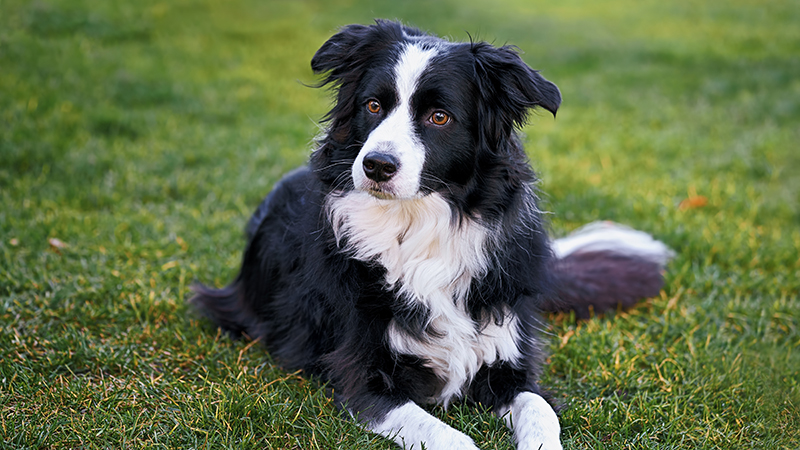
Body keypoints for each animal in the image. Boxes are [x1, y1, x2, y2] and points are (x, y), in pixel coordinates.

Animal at [191, 19, 672, 448]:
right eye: (373, 106)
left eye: (439, 117)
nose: (376, 166)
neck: (419, 226)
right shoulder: (364, 376)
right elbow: (449, 437)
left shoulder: (508, 361)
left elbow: (540, 411)